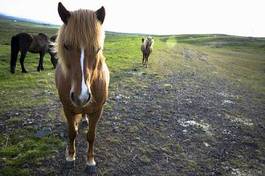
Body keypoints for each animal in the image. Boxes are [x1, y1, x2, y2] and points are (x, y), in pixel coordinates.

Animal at [55, 2, 109, 175]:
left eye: (97, 48)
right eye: (66, 45)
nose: (81, 97)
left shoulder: (98, 110)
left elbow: (91, 136)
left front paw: (90, 161)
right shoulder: (67, 108)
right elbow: (72, 133)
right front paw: (70, 157)